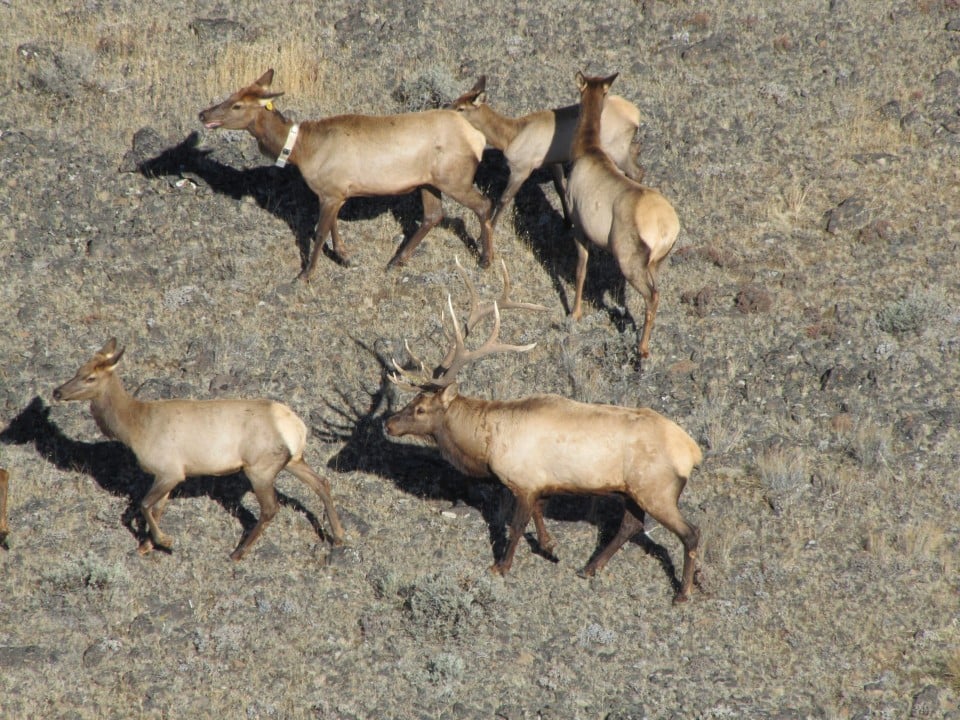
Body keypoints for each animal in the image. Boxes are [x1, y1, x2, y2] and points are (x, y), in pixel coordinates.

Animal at [52, 340, 344, 560]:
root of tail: (297, 427)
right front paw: (146, 545)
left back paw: (237, 553)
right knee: (322, 483)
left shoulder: (170, 471)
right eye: (77, 369)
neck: (134, 428)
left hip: (259, 468)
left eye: (90, 377)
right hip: (293, 460)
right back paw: (339, 536)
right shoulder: (167, 475)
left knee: (271, 508)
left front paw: (164, 541)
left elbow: (144, 505)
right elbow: (156, 508)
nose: (57, 391)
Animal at [196, 69, 496, 278]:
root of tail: (477, 138)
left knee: (483, 204)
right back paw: (395, 261)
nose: (203, 114)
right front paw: (345, 256)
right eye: (231, 95)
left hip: (453, 178)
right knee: (434, 215)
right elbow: (332, 227)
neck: (302, 150)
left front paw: (305, 274)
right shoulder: (334, 192)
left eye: (237, 105)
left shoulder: (331, 192)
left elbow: (318, 232)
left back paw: (485, 260)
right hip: (428, 181)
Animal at [384, 262, 704, 600]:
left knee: (690, 532)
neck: (486, 447)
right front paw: (550, 546)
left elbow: (515, 526)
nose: (389, 422)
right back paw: (589, 568)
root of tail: (692, 452)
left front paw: (501, 566)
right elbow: (538, 514)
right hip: (631, 490)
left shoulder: (522, 481)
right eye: (412, 401)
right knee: (631, 525)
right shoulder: (539, 483)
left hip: (657, 490)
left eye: (420, 409)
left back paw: (682, 592)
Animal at [450, 75, 644, 228]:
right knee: (636, 152)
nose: (446, 107)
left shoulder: (521, 169)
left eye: (461, 108)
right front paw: (567, 222)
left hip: (617, 150)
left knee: (637, 171)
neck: (510, 136)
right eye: (456, 100)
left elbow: (504, 199)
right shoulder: (552, 162)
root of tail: (635, 117)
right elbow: (560, 189)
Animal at [568, 71, 680, 358]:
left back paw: (642, 350)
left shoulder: (578, 227)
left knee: (652, 296)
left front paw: (574, 313)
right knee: (656, 292)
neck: (588, 151)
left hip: (629, 262)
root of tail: (666, 229)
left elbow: (580, 270)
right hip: (656, 264)